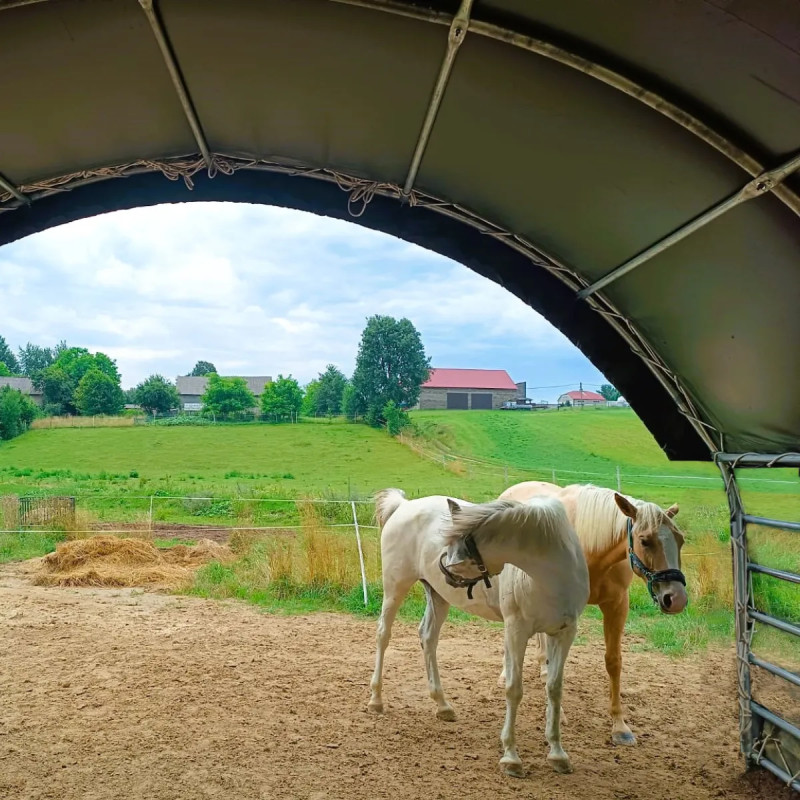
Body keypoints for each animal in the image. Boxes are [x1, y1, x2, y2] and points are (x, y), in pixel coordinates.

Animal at [368, 488, 589, 777]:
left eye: (455, 547)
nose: (445, 569)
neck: (551, 577)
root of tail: (403, 506)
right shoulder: (516, 630)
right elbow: (514, 689)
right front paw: (511, 757)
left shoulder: (563, 634)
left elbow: (554, 689)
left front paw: (558, 754)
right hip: (395, 588)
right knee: (383, 634)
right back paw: (376, 699)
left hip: (437, 596)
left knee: (428, 638)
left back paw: (442, 705)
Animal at [498, 481, 687, 746]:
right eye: (645, 540)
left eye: (681, 540)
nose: (676, 599)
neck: (589, 546)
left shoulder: (617, 605)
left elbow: (613, 662)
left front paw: (620, 726)